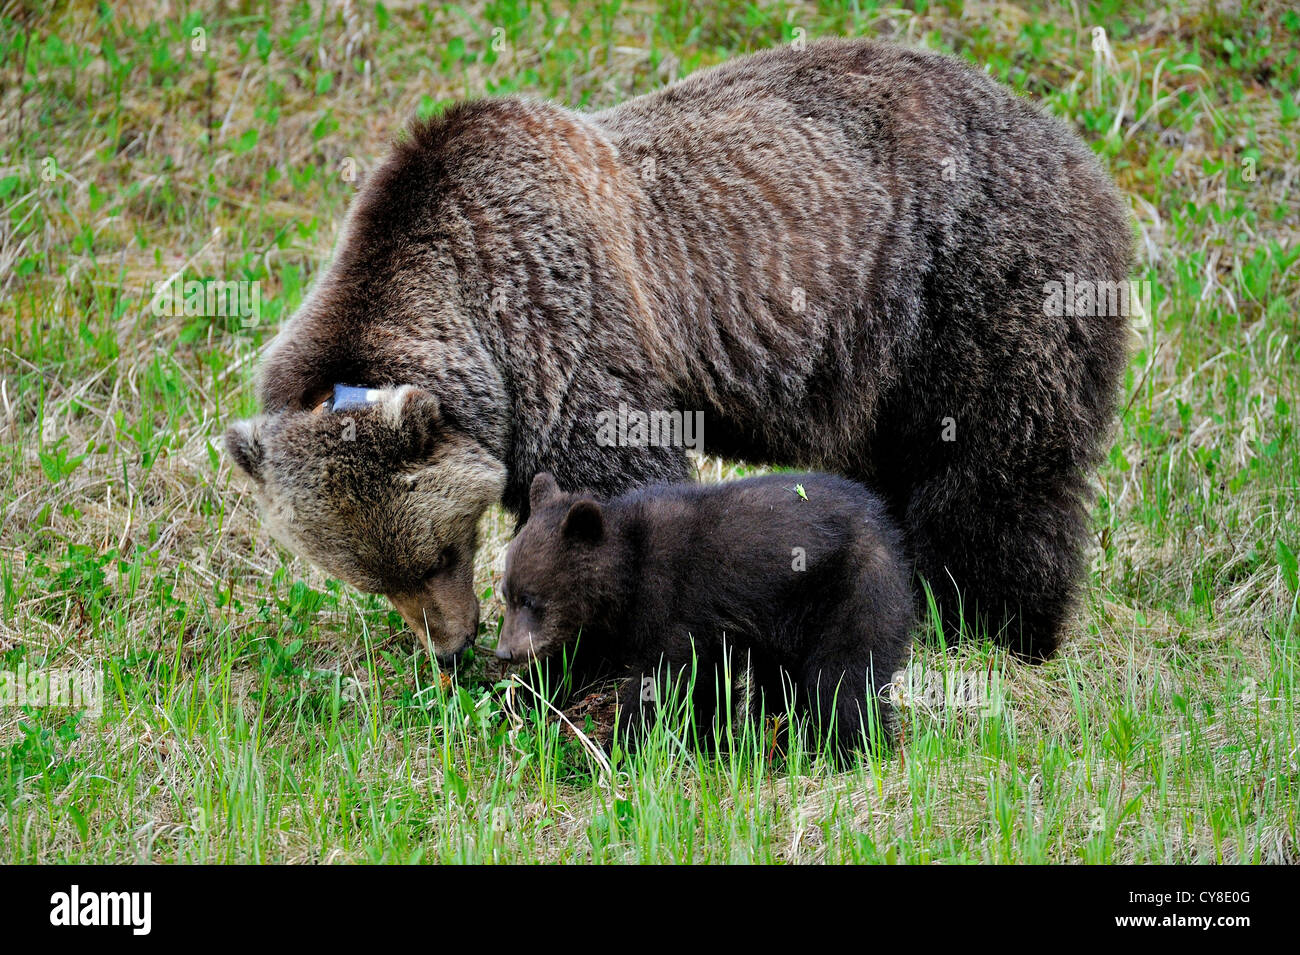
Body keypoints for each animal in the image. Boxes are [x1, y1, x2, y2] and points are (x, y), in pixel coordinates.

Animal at [225, 38, 1132, 662]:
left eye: (442, 550)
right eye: (376, 577)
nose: (450, 645)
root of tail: (1082, 152)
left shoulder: (570, 328)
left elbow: (611, 486)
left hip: (973, 287)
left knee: (995, 472)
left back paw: (996, 624)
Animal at [499, 472, 914, 753]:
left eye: (531, 599)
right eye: (506, 594)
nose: (505, 652)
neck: (627, 574)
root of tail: (885, 528)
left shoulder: (674, 603)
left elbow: (664, 680)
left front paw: (620, 745)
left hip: (852, 591)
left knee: (843, 678)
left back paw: (846, 750)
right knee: (783, 682)